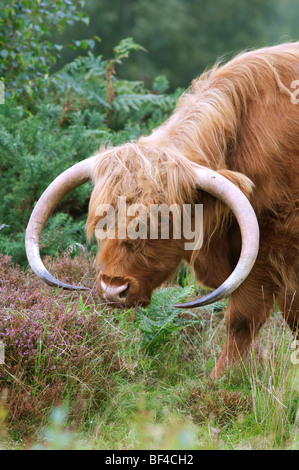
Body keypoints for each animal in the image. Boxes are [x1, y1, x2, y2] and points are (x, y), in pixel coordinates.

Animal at [26, 42, 299, 376]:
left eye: (162, 221)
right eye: (100, 221)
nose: (113, 289)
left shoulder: (273, 248)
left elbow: (243, 318)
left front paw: (218, 380)